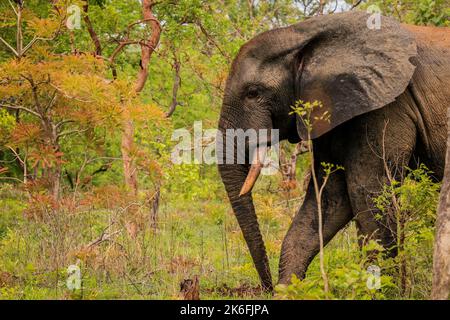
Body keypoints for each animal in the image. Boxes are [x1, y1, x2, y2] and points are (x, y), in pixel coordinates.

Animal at [216, 10, 448, 292]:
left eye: (253, 93)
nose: (266, 286)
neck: (302, 35)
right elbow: (330, 199)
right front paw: (289, 291)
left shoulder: (386, 107)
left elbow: (367, 192)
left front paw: (381, 292)